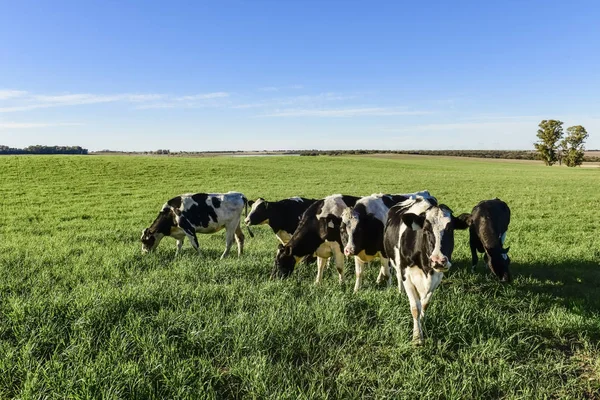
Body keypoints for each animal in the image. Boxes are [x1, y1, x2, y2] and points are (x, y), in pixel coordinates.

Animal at [384, 196, 468, 344]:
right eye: (426, 230)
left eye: (451, 229)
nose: (438, 260)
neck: (425, 267)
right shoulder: (407, 276)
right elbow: (415, 308)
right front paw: (417, 337)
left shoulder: (437, 277)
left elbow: (424, 305)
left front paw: (422, 323)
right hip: (395, 261)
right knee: (398, 276)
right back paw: (400, 292)